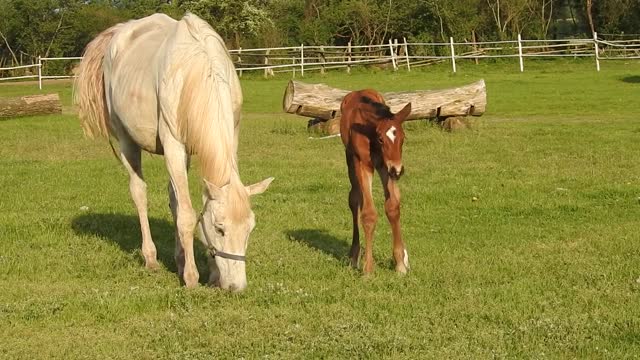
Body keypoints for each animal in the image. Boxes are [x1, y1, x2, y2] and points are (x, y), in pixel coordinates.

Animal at [74, 13, 272, 292]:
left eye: (250, 229)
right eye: (219, 229)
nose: (236, 286)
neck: (200, 71)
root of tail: (119, 32)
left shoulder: (222, 142)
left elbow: (190, 207)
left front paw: (210, 273)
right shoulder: (174, 146)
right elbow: (187, 216)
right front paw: (191, 277)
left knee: (173, 199)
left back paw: (178, 259)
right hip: (127, 141)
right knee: (139, 193)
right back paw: (151, 258)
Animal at [338, 89, 412, 272]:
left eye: (403, 138)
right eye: (380, 139)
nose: (398, 170)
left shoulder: (384, 166)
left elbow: (393, 207)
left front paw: (400, 263)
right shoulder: (364, 164)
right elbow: (369, 214)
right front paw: (368, 269)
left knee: (396, 196)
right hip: (350, 159)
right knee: (355, 198)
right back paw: (354, 256)